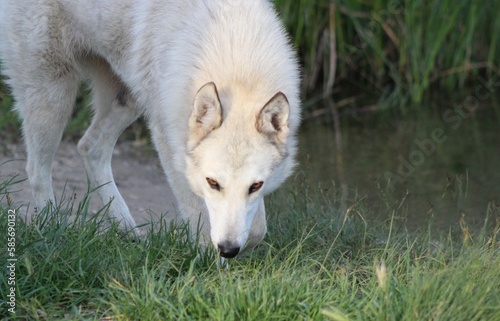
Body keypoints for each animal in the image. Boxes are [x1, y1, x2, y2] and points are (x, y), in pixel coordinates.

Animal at [0, 0, 300, 256]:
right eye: (213, 183)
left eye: (255, 186)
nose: (228, 249)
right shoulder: (169, 145)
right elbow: (198, 216)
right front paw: (206, 267)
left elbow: (257, 229)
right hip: (53, 95)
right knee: (36, 169)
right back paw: (52, 230)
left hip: (126, 101)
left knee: (88, 148)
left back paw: (129, 232)